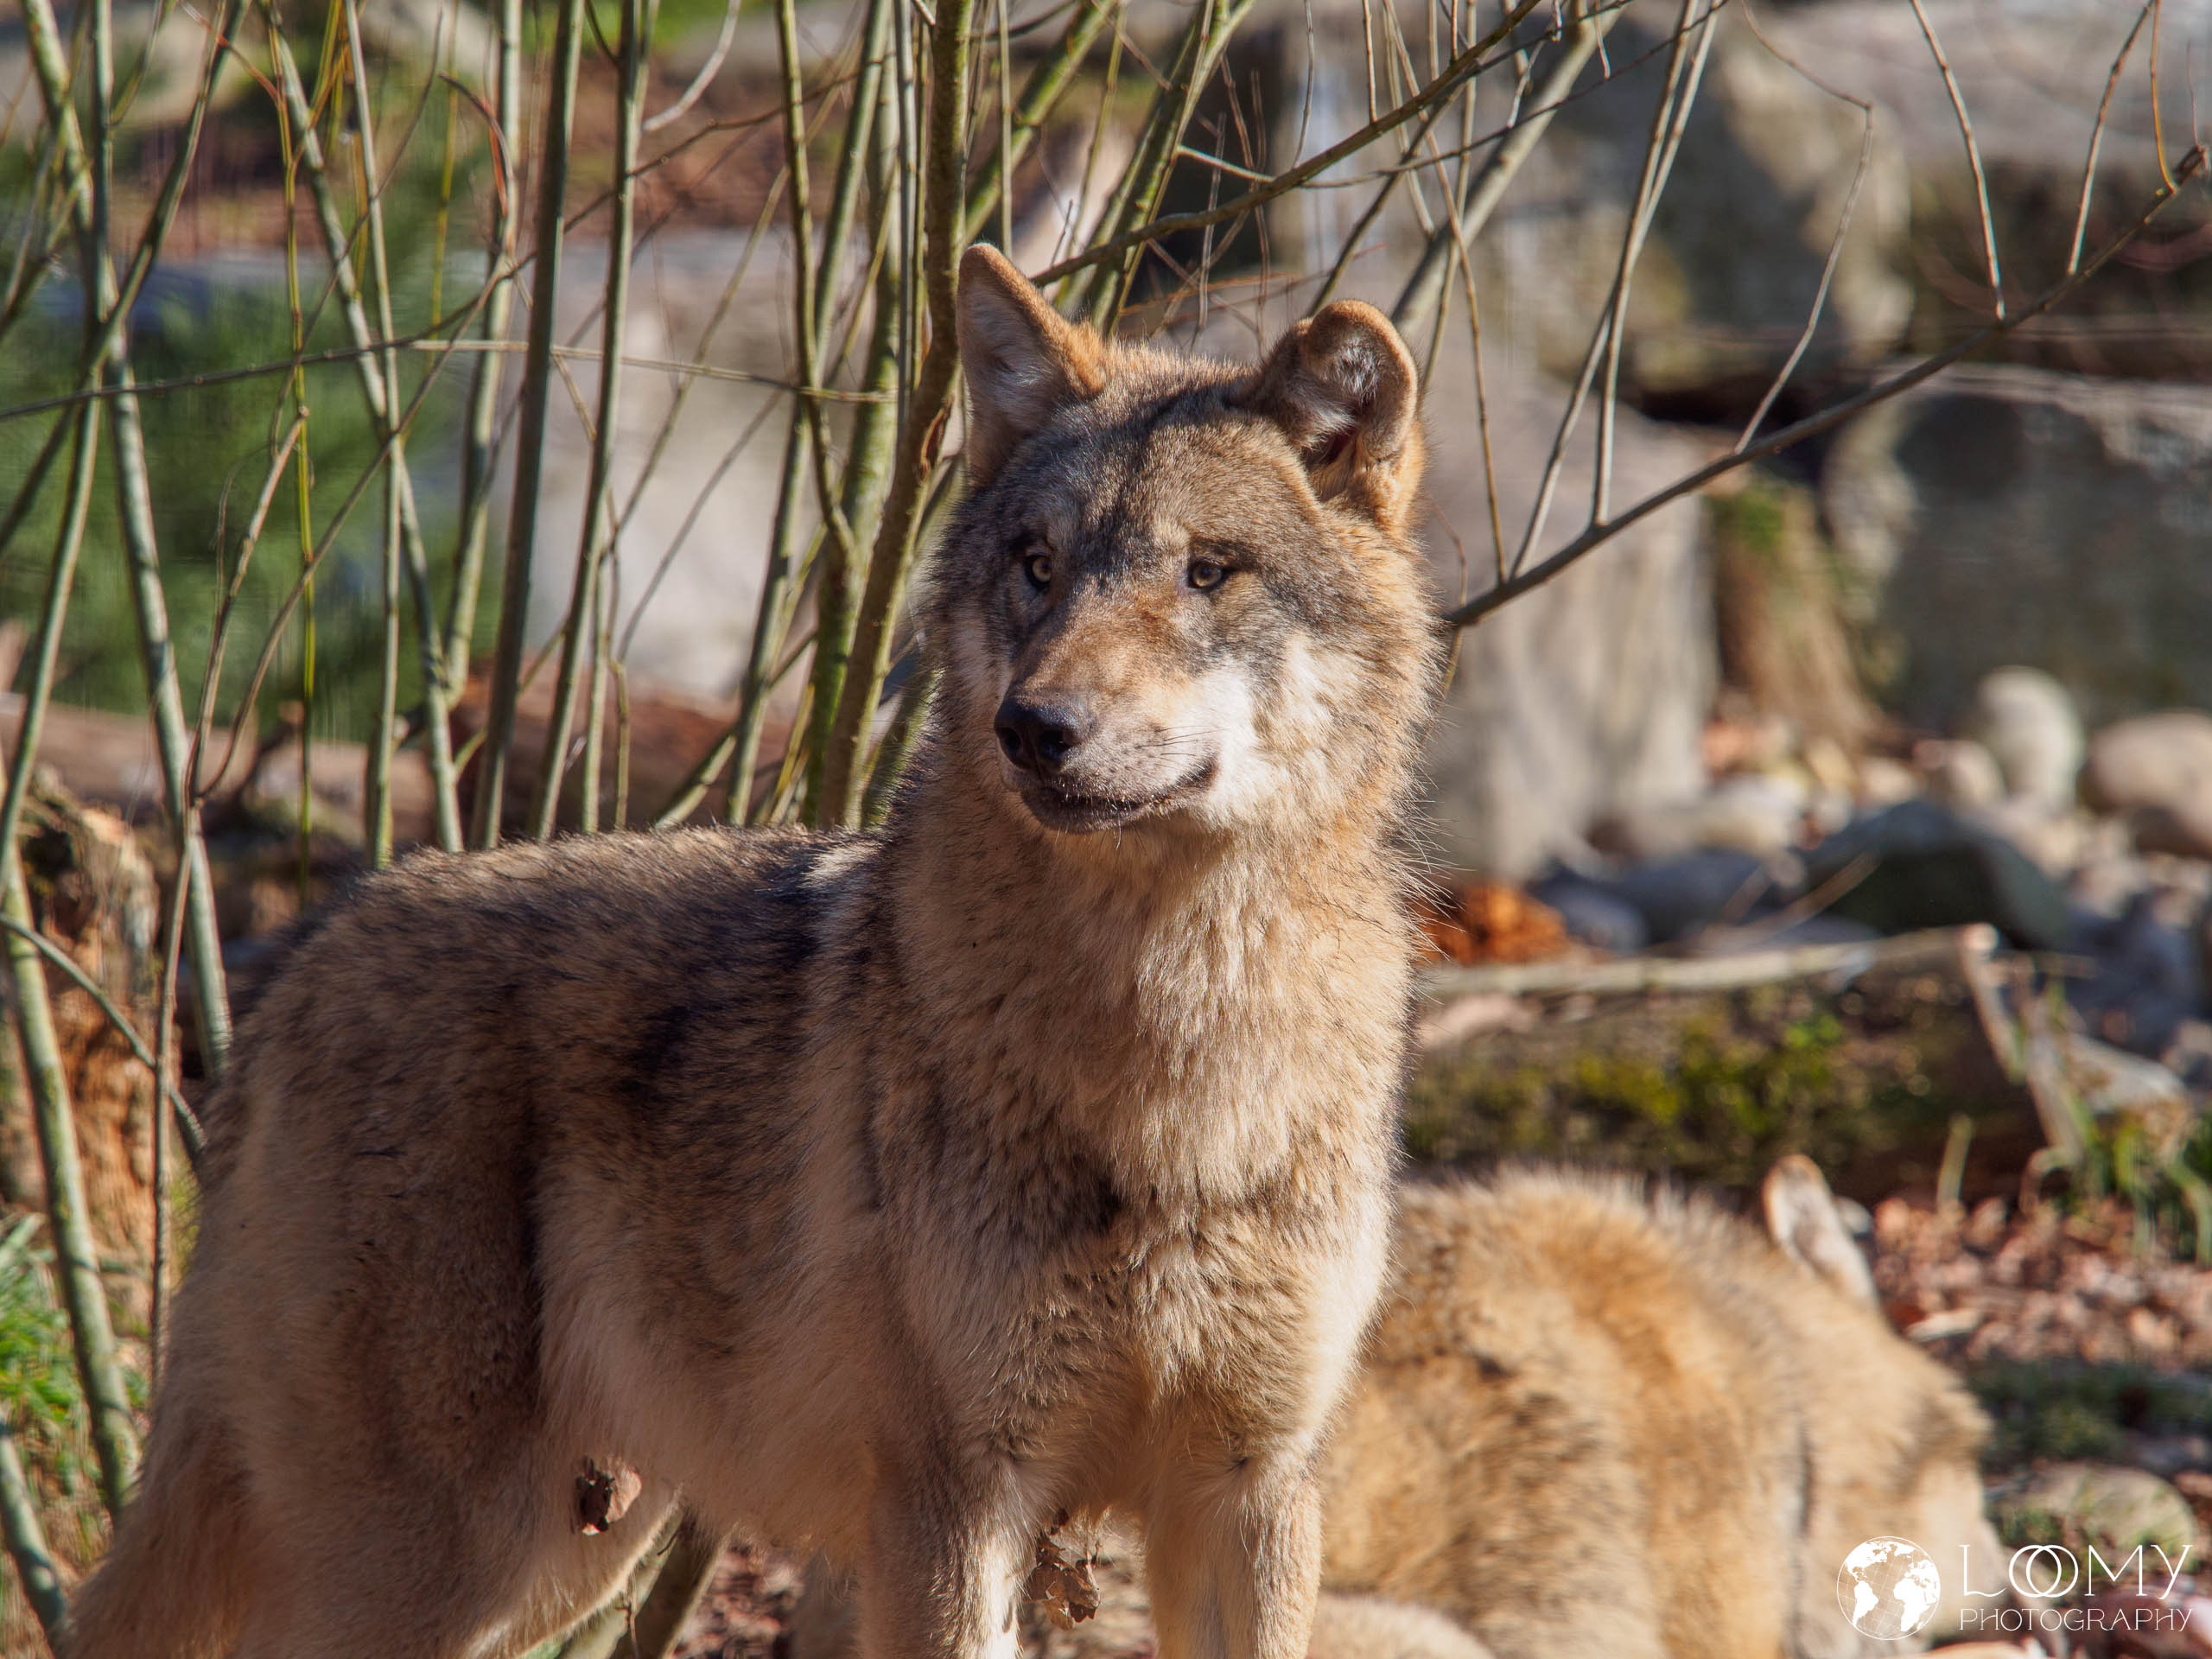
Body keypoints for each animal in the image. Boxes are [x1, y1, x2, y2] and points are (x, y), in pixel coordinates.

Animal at [68, 246, 1444, 1659]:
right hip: (434, 1561)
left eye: (1208, 571)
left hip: (557, 1559)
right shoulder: (955, 1502)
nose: (1034, 727)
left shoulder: (1250, 1494)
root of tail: (300, 956)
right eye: (1037, 565)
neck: (1176, 1060)